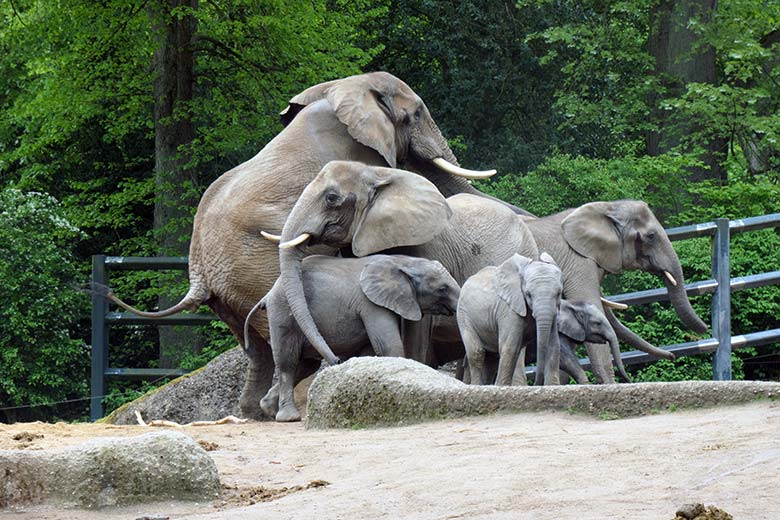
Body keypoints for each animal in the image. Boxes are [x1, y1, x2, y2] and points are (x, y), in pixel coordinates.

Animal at [250, 254, 460, 420]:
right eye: (442, 289)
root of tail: (269, 293)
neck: (402, 261)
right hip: (282, 312)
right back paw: (288, 417)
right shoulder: (370, 303)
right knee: (288, 362)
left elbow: (368, 351)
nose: (337, 361)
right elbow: (387, 345)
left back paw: (268, 409)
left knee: (305, 365)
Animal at [458, 252, 560, 386]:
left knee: (492, 359)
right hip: (463, 314)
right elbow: (510, 347)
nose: (536, 383)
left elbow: (553, 347)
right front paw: (502, 387)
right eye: (528, 294)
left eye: (559, 293)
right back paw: (477, 386)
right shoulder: (508, 310)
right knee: (477, 352)